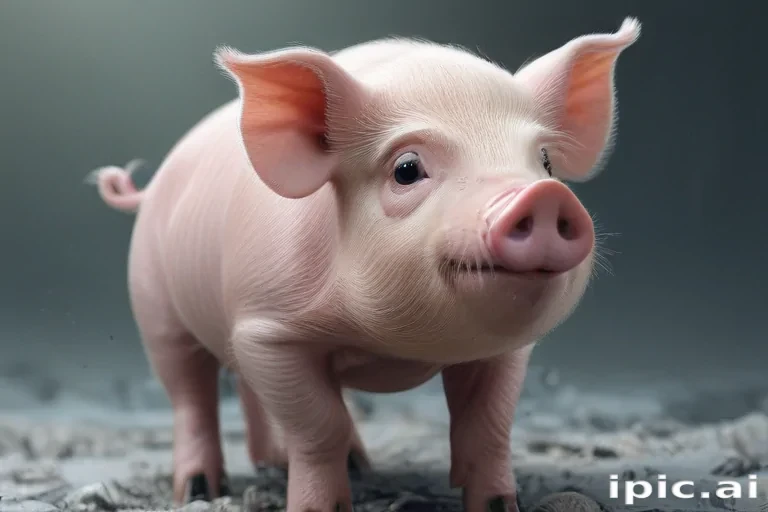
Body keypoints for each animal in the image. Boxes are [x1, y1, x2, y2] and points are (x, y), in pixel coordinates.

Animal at [88, 17, 640, 512]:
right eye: (406, 169)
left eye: (544, 161)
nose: (542, 196)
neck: (389, 346)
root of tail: (151, 188)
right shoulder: (269, 330)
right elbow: (320, 425)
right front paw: (321, 507)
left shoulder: (505, 350)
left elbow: (488, 423)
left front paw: (499, 505)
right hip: (156, 306)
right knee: (190, 394)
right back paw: (201, 490)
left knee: (246, 389)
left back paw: (288, 464)